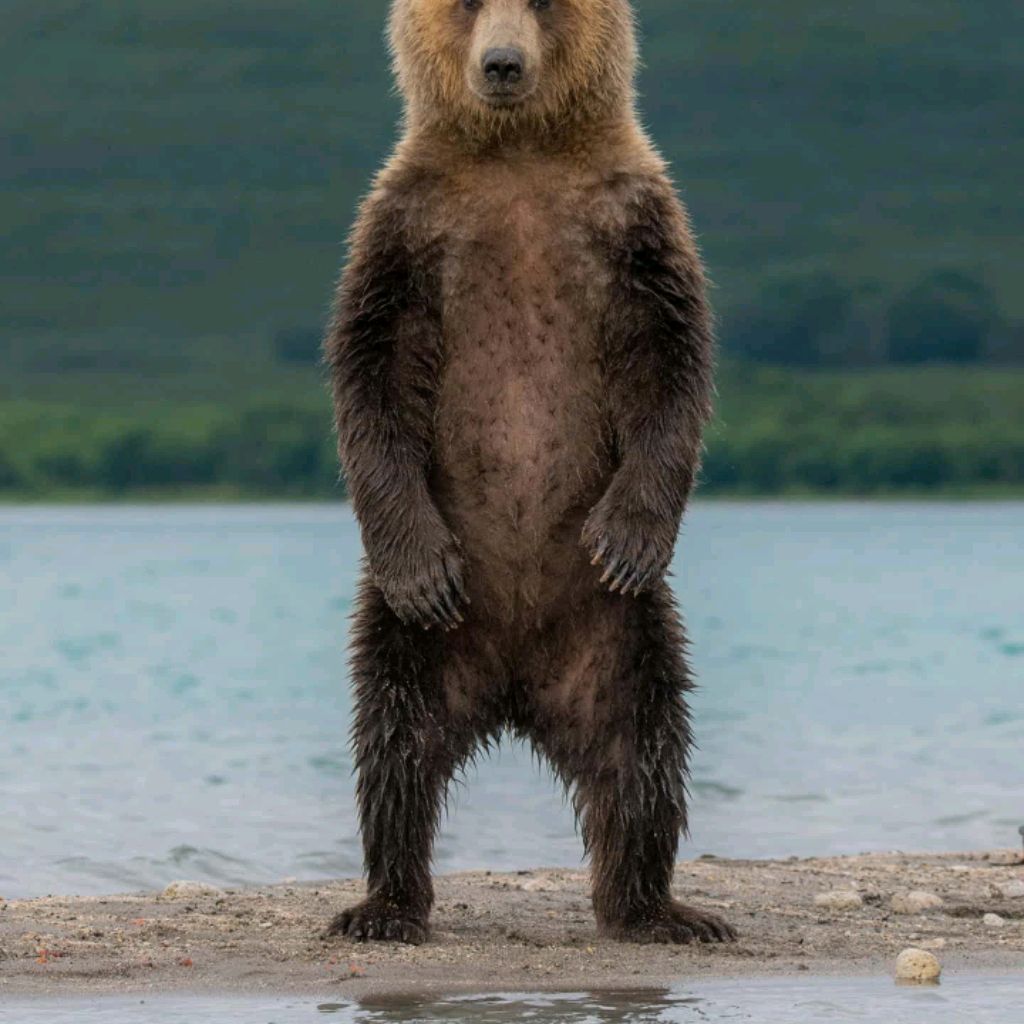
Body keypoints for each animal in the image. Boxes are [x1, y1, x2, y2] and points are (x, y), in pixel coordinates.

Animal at [324, 0, 734, 946]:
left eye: (545, 4)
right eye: (466, 5)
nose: (503, 65)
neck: (518, 157)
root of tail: (513, 689)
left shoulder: (634, 224)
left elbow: (674, 363)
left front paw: (627, 536)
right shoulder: (406, 228)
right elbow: (371, 372)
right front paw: (422, 567)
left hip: (620, 630)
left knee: (644, 747)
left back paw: (658, 908)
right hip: (419, 637)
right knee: (393, 743)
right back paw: (385, 904)